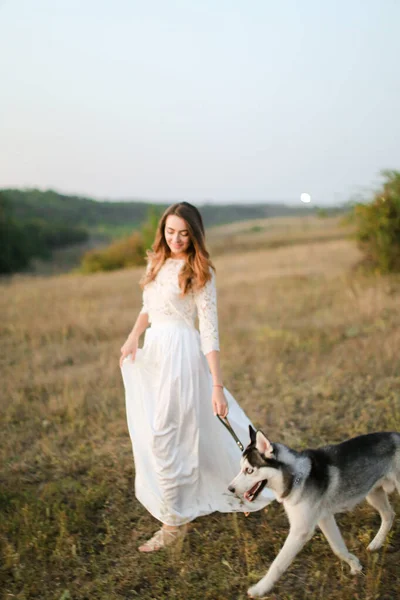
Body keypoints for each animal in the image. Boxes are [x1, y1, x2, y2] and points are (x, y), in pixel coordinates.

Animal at [228, 424, 400, 596]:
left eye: (249, 470)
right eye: (241, 469)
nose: (230, 489)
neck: (297, 476)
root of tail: (396, 435)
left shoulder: (300, 531)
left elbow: (278, 564)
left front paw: (260, 588)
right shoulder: (325, 518)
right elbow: (338, 548)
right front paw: (355, 565)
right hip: (373, 494)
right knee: (389, 515)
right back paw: (376, 543)